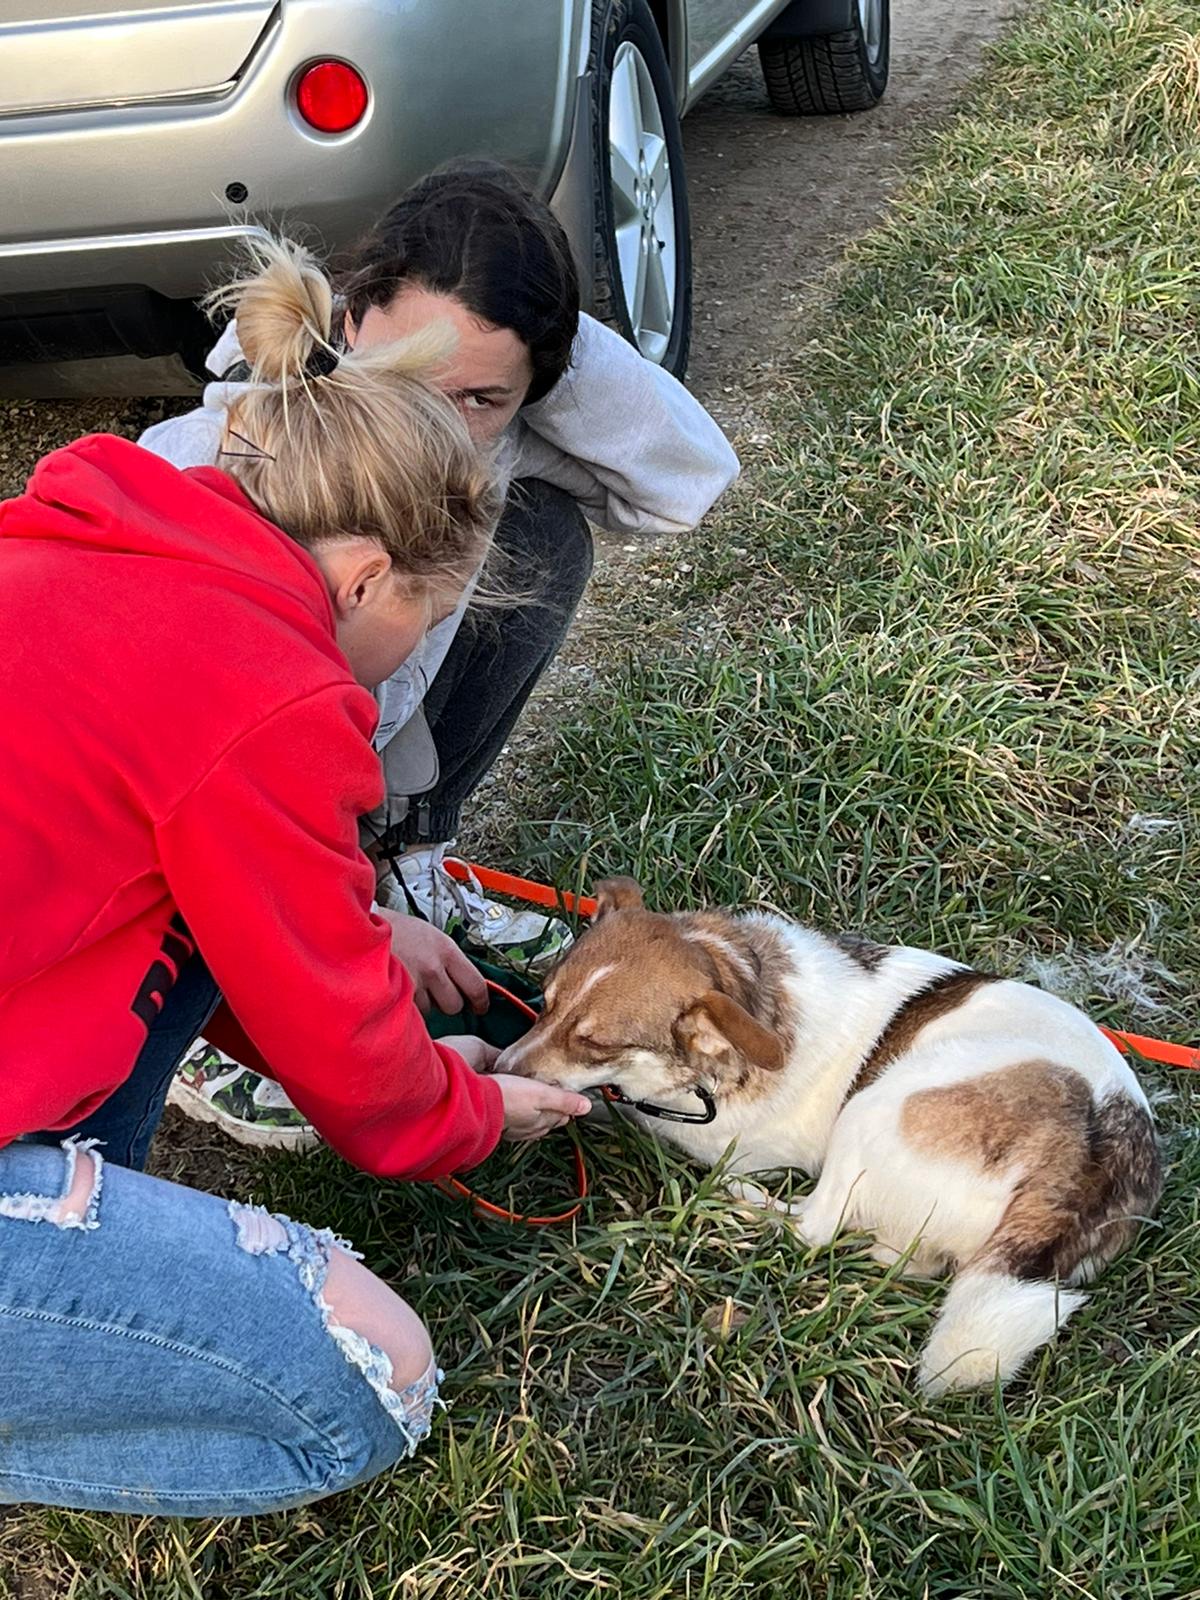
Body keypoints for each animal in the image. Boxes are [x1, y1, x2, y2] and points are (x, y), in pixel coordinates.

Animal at [497, 878, 1162, 1394]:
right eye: (545, 1003)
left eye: (593, 1041)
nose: (501, 1068)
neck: (751, 990)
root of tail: (1086, 1162)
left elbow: (617, 1108)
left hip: (874, 1107)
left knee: (814, 1227)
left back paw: (739, 1205)